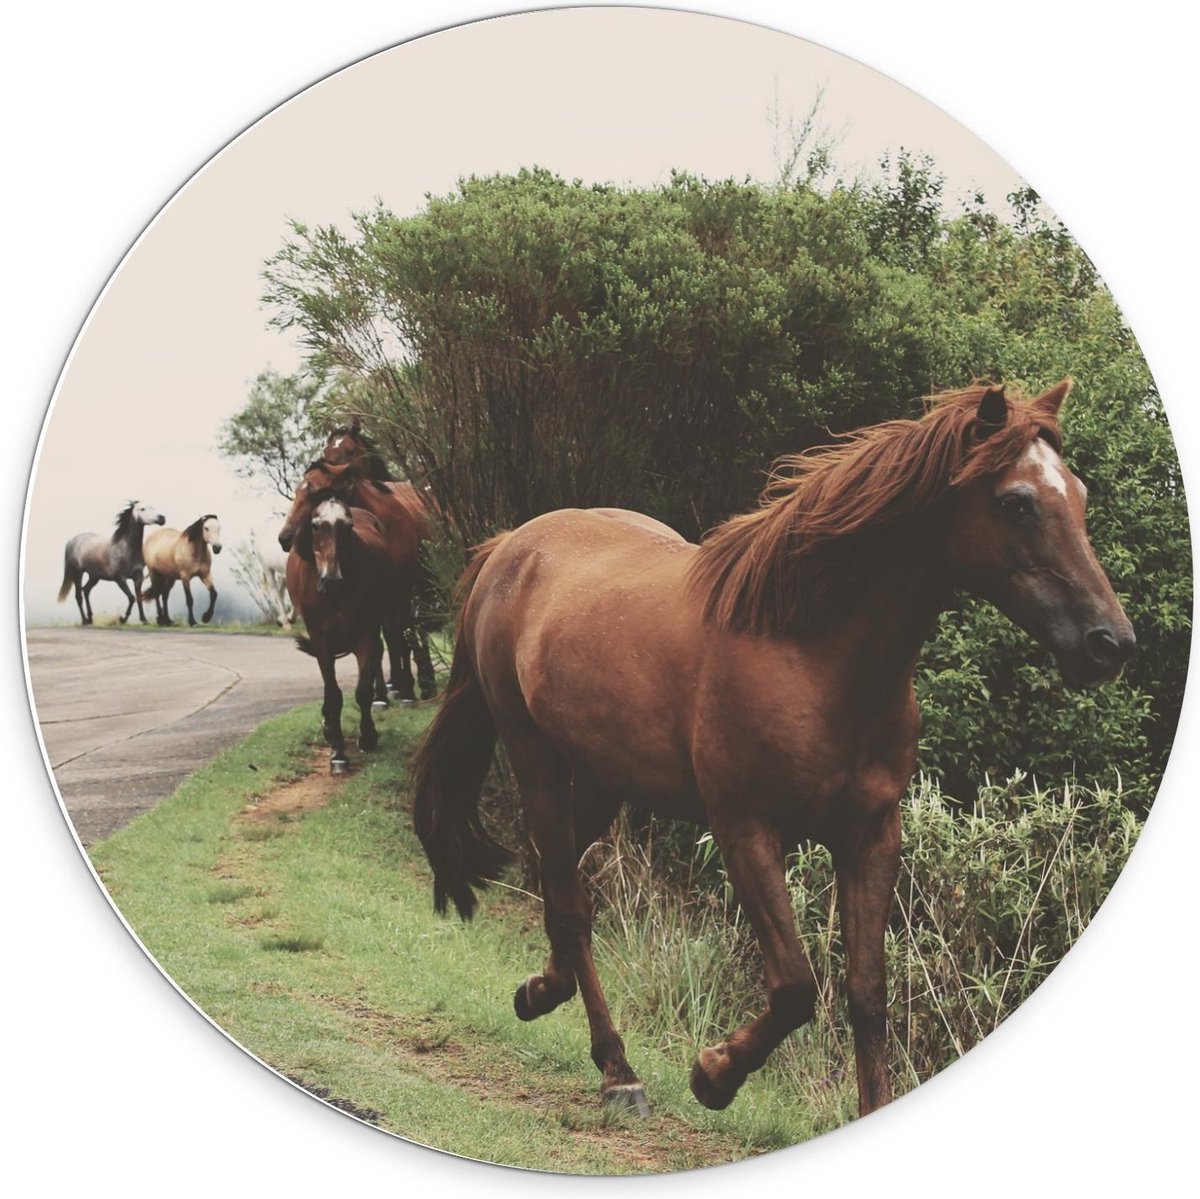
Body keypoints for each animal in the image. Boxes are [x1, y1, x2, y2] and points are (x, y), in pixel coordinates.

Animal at [279, 455, 435, 702]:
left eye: (317, 492)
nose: (285, 538)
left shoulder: (401, 591)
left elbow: (402, 636)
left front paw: (408, 689)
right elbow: (385, 640)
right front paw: (383, 693)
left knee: (415, 629)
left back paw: (423, 682)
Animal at [286, 493, 396, 771]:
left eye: (347, 527)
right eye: (316, 526)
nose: (331, 579)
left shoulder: (366, 631)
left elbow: (363, 690)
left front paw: (367, 737)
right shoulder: (321, 639)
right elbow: (333, 693)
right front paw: (337, 749)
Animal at [411, 380, 1135, 1120]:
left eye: (1078, 493)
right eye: (1016, 502)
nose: (1110, 642)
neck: (809, 653)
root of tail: (512, 546)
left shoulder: (871, 835)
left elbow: (867, 996)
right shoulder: (747, 830)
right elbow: (794, 986)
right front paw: (713, 1073)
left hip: (605, 777)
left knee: (553, 879)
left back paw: (540, 992)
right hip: (535, 757)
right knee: (570, 902)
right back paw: (618, 1070)